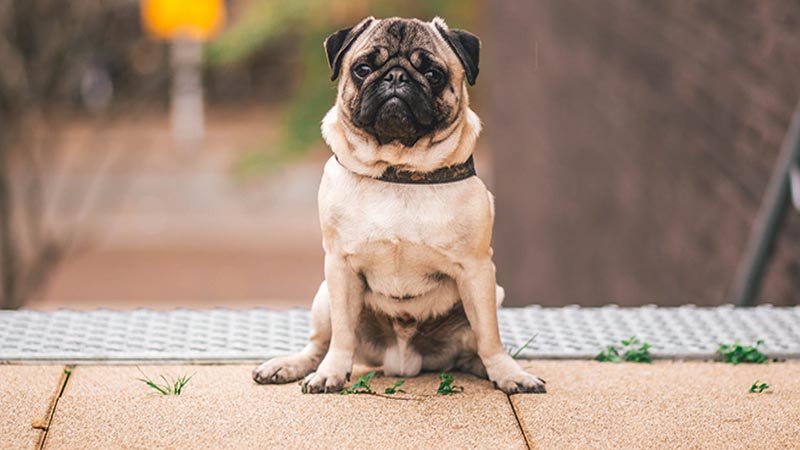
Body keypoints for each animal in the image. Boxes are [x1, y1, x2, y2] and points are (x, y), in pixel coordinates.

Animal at [253, 16, 548, 394]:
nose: (395, 77)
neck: (399, 171)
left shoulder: (477, 269)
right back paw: (291, 366)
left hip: (491, 294)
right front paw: (332, 372)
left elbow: (490, 336)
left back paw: (490, 368)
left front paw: (508, 372)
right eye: (363, 69)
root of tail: (403, 361)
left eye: (433, 74)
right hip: (322, 297)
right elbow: (343, 335)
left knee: (475, 349)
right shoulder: (339, 266)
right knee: (319, 344)